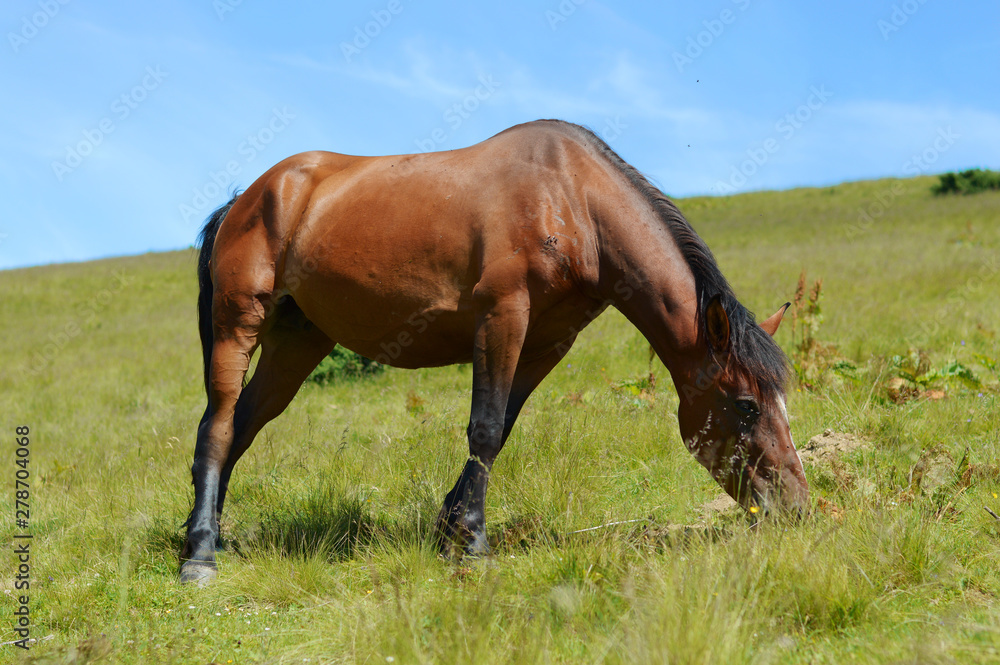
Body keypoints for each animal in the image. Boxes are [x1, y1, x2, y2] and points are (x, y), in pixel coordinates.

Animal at [180, 119, 809, 584]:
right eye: (747, 406)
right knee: (217, 425)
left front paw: (449, 530)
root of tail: (251, 196)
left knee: (243, 426)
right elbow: (483, 428)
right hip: (239, 323)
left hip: (297, 343)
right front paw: (476, 544)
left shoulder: (548, 341)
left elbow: (500, 429)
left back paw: (208, 532)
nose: (797, 507)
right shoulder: (503, 316)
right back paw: (200, 555)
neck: (572, 199)